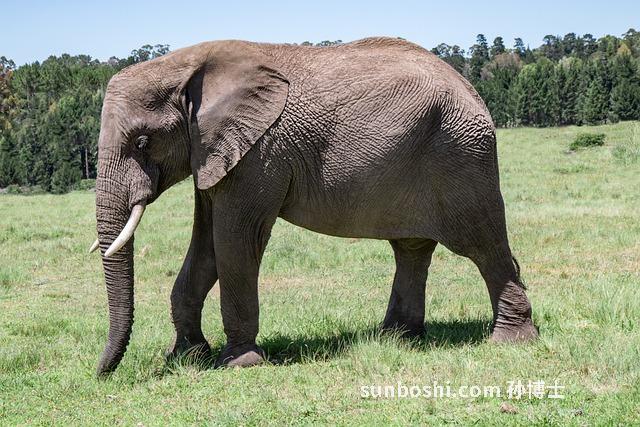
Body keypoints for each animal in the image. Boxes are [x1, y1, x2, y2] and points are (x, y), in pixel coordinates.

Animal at [90, 37, 538, 376]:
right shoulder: (215, 154)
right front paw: (186, 356)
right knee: (411, 249)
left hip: (462, 155)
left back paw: (511, 340)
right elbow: (205, 248)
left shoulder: (260, 153)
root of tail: (470, 86)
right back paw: (396, 339)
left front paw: (238, 363)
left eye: (142, 142)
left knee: (484, 246)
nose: (100, 374)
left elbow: (236, 241)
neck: (185, 66)